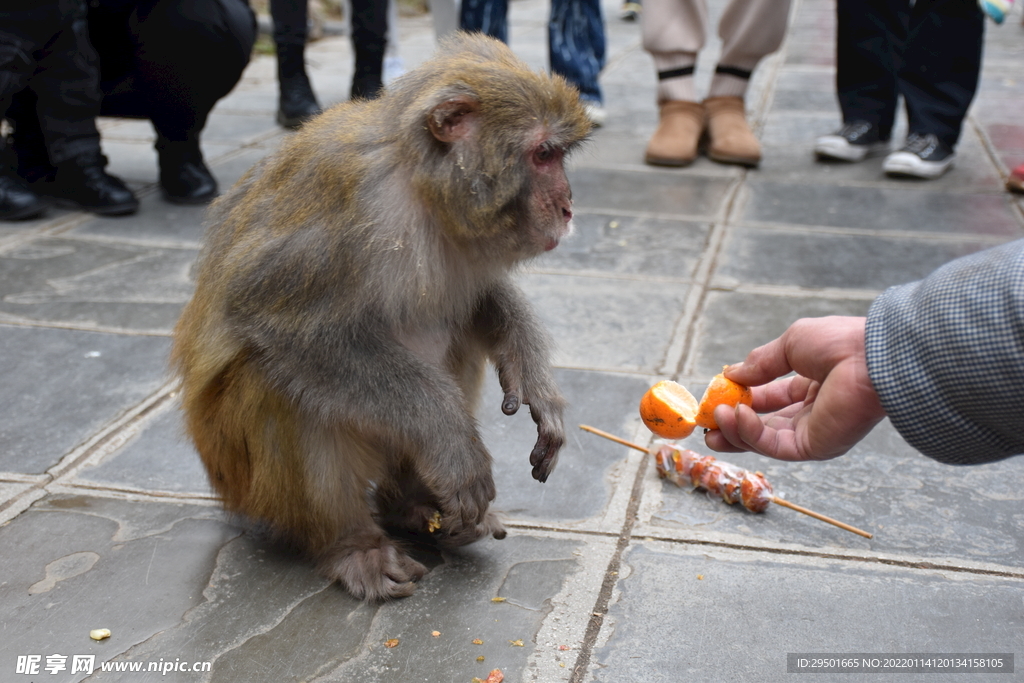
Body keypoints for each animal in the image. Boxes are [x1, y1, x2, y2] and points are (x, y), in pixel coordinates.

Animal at [169, 33, 593, 598]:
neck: (418, 186)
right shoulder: (346, 210)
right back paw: (351, 543)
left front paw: (531, 372)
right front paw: (448, 434)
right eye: (544, 154)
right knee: (277, 380)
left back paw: (410, 504)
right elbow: (270, 320)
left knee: (452, 329)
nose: (568, 207)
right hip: (244, 476)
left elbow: (478, 298)